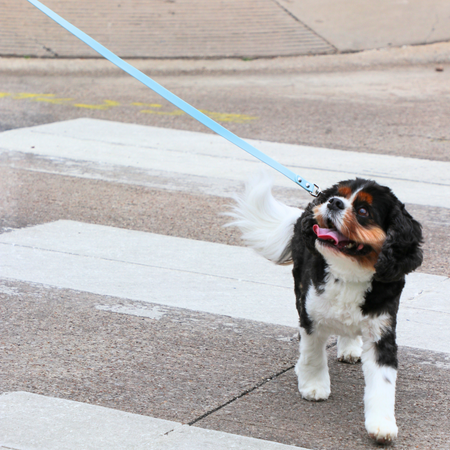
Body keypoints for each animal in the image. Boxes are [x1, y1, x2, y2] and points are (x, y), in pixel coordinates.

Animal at [229, 172, 422, 442]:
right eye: (338, 196)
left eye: (363, 210)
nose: (333, 202)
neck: (349, 273)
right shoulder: (311, 314)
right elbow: (312, 354)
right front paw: (313, 385)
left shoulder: (381, 331)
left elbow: (383, 382)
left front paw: (382, 425)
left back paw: (350, 347)